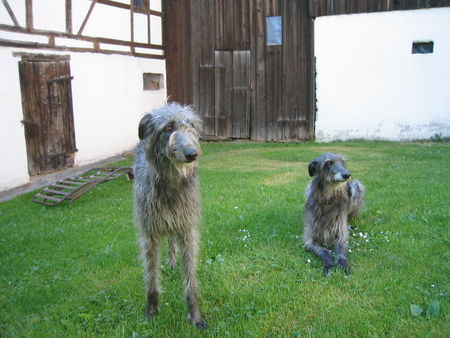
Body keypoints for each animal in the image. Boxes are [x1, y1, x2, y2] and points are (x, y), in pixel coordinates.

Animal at [131, 103, 207, 330]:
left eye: (191, 126)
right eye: (167, 128)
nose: (192, 153)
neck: (171, 181)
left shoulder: (187, 229)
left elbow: (190, 280)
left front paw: (195, 316)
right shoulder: (149, 234)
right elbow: (151, 277)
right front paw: (151, 311)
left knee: (172, 238)